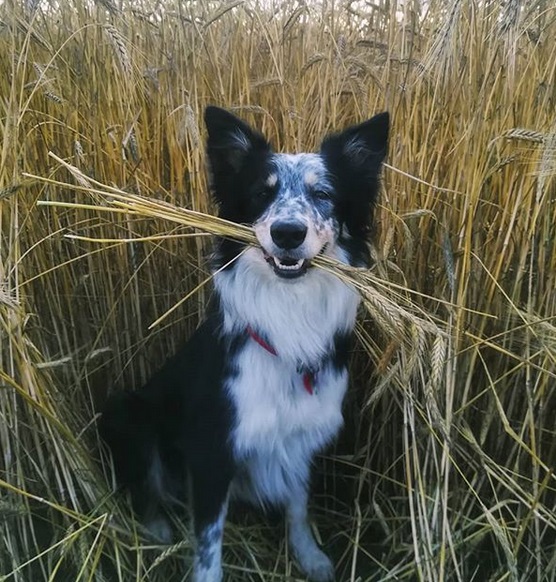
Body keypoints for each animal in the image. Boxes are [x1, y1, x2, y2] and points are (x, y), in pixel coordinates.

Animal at [99, 106, 386, 582]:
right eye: (260, 193)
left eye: (323, 193)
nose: (288, 233)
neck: (289, 318)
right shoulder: (211, 448)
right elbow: (208, 545)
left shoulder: (300, 438)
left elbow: (298, 506)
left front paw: (309, 556)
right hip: (126, 411)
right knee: (145, 488)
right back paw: (157, 530)